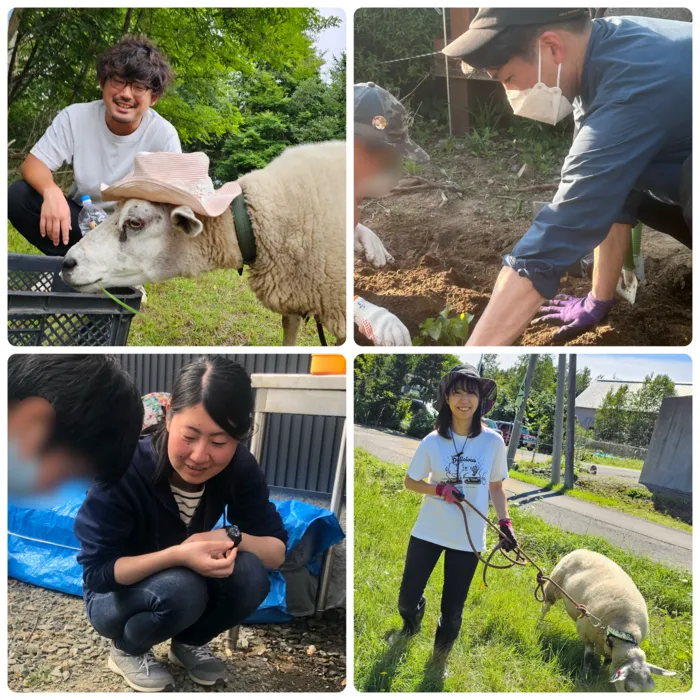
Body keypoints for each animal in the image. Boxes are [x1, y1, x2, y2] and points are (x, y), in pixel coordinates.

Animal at [540, 548, 676, 692]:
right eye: (629, 688)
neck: (624, 629)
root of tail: (584, 549)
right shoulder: (586, 633)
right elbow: (588, 657)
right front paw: (585, 675)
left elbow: (607, 662)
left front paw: (600, 672)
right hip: (555, 584)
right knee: (545, 607)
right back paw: (539, 624)